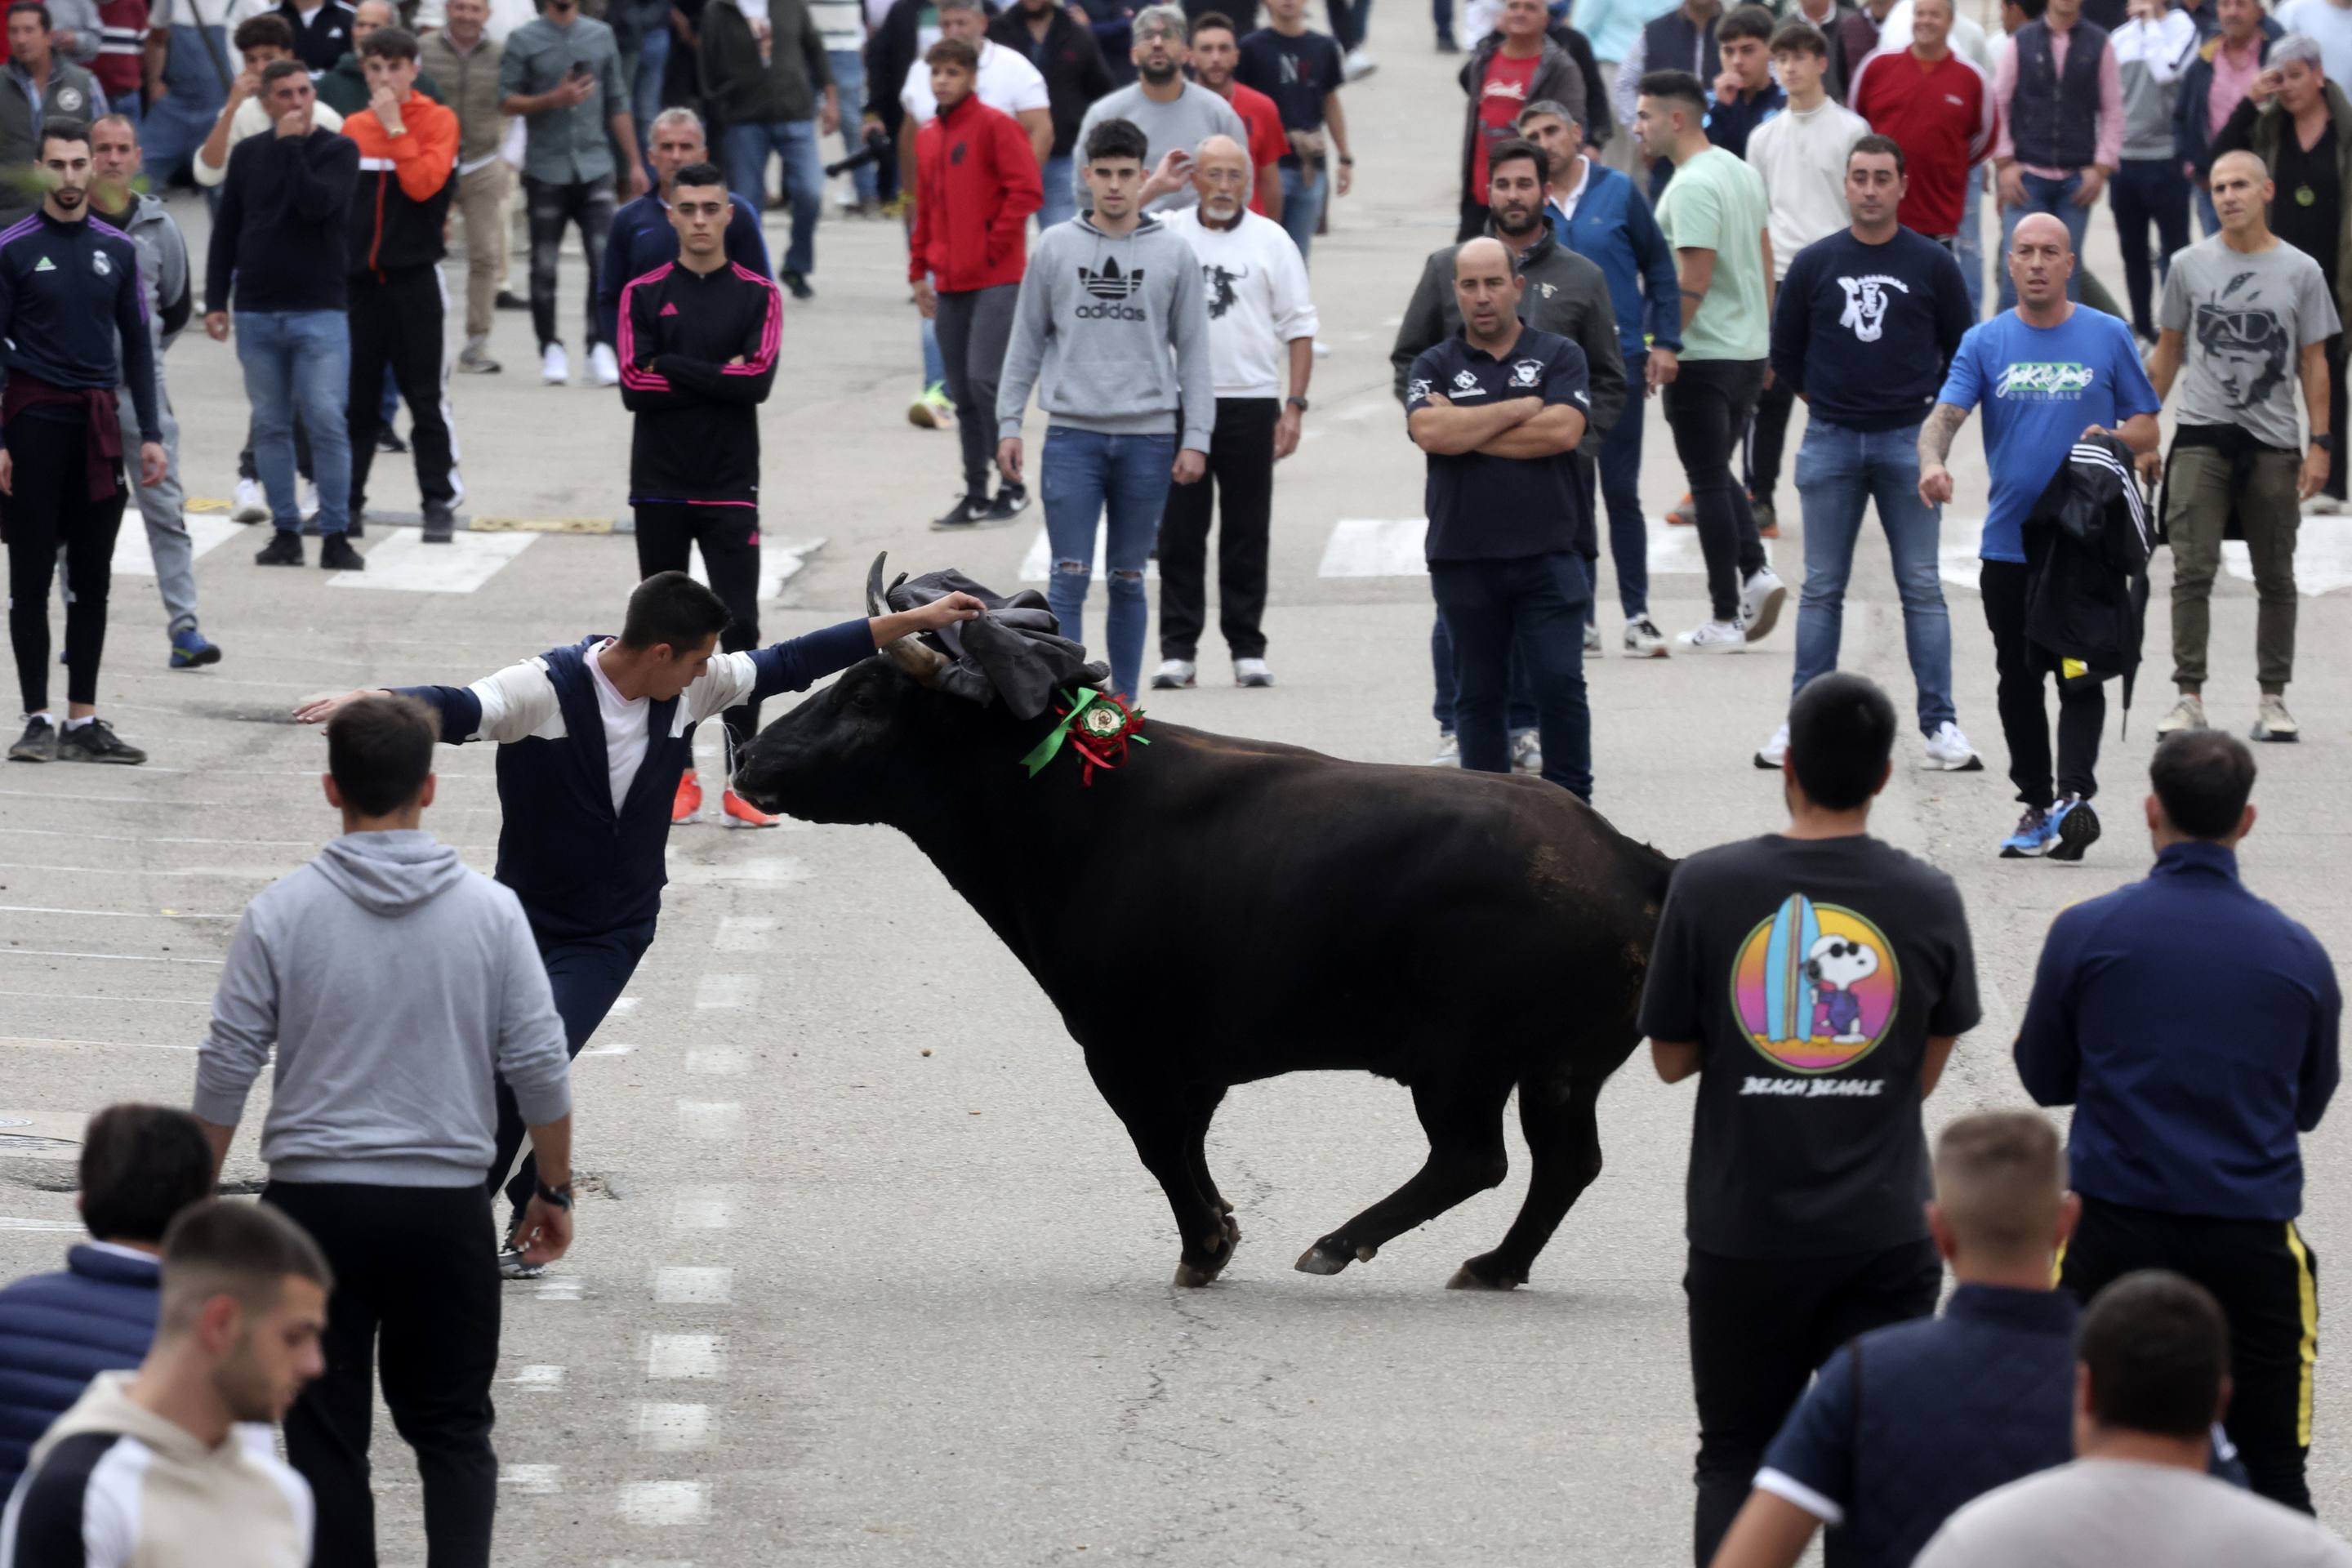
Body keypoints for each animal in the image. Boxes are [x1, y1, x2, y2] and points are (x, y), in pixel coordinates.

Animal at [733, 648, 1674, 1288]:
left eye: (863, 696)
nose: (748, 759)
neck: (1081, 810)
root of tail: (1634, 860)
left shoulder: (1124, 1049)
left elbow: (1159, 1146)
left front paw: (1204, 1247)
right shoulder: (1194, 1059)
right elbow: (1188, 1142)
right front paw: (1220, 1227)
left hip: (1464, 1069)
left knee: (1477, 1159)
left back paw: (1339, 1245)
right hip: (1558, 1074)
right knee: (1563, 1164)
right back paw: (1493, 1264)